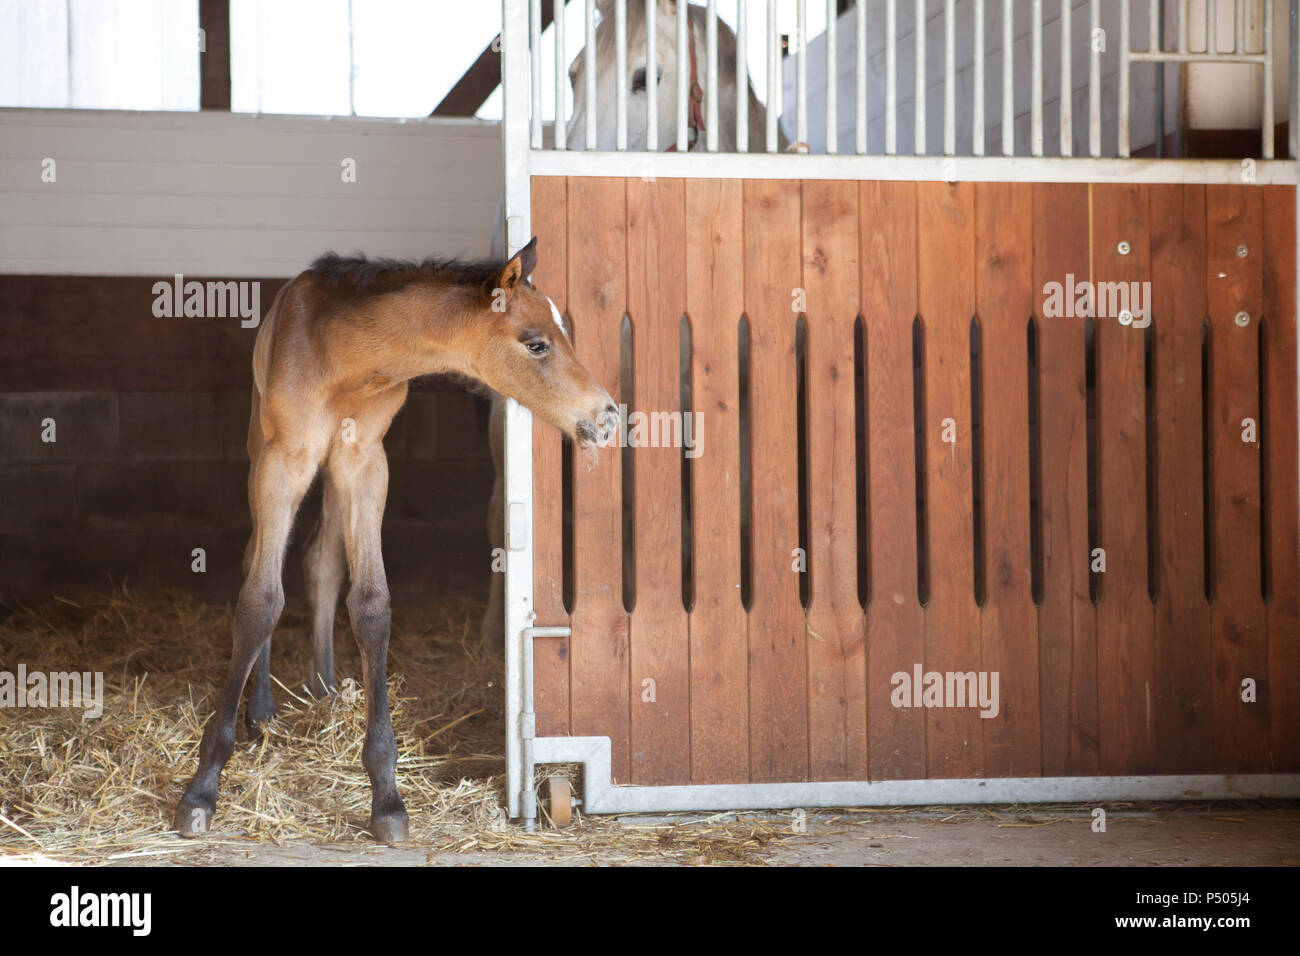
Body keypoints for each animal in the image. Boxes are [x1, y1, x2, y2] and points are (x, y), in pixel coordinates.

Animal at [178, 240, 618, 842]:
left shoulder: (366, 461)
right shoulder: (283, 459)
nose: (608, 417)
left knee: (321, 562)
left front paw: (386, 795)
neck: (343, 359)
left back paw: (324, 688)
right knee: (259, 561)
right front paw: (203, 787)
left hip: (333, 471)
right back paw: (263, 709)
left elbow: (370, 605)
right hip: (260, 449)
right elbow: (260, 600)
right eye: (536, 343)